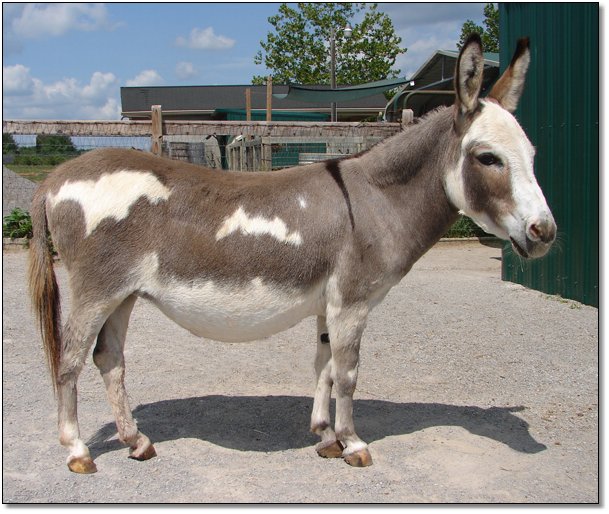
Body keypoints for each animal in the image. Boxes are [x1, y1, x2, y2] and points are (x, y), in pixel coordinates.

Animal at [29, 34, 556, 473]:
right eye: (488, 158)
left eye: (533, 155)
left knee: (109, 358)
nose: (545, 232)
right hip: (96, 289)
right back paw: (77, 451)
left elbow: (323, 366)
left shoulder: (329, 304)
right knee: (69, 360)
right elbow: (348, 373)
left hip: (123, 293)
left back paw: (136, 441)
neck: (374, 199)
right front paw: (353, 443)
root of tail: (53, 180)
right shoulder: (352, 302)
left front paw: (324, 437)